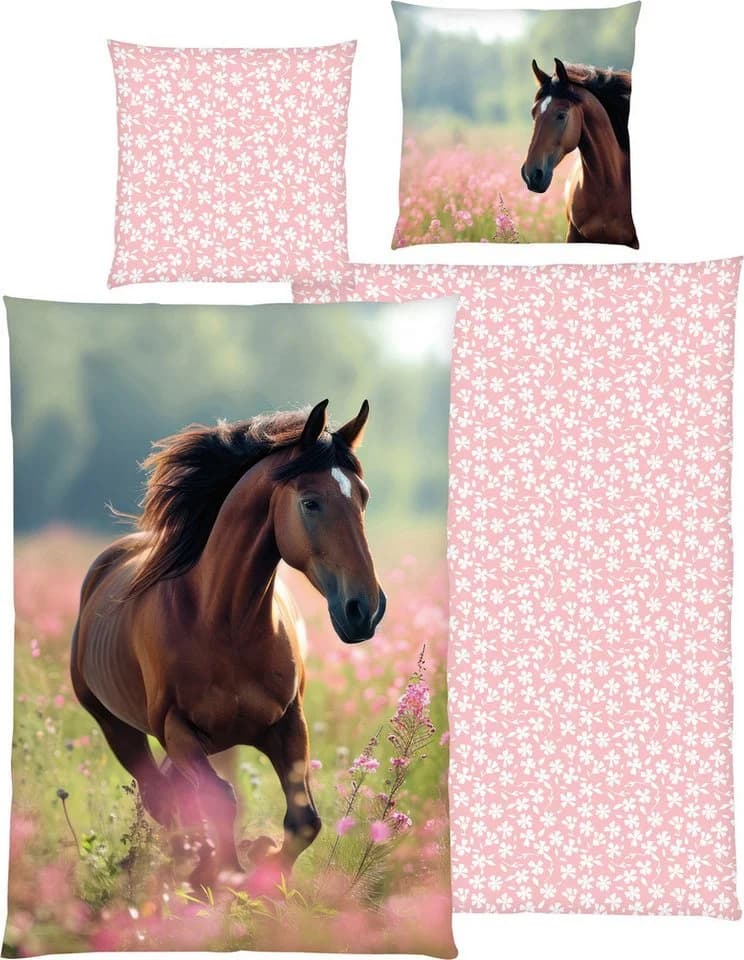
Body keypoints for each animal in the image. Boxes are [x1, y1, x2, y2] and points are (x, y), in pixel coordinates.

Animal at [71, 399, 386, 890]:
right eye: (310, 502)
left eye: (363, 497)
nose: (364, 610)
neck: (224, 624)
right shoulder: (178, 729)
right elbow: (218, 800)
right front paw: (228, 874)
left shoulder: (287, 723)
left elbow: (304, 820)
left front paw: (264, 872)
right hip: (119, 728)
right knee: (163, 798)